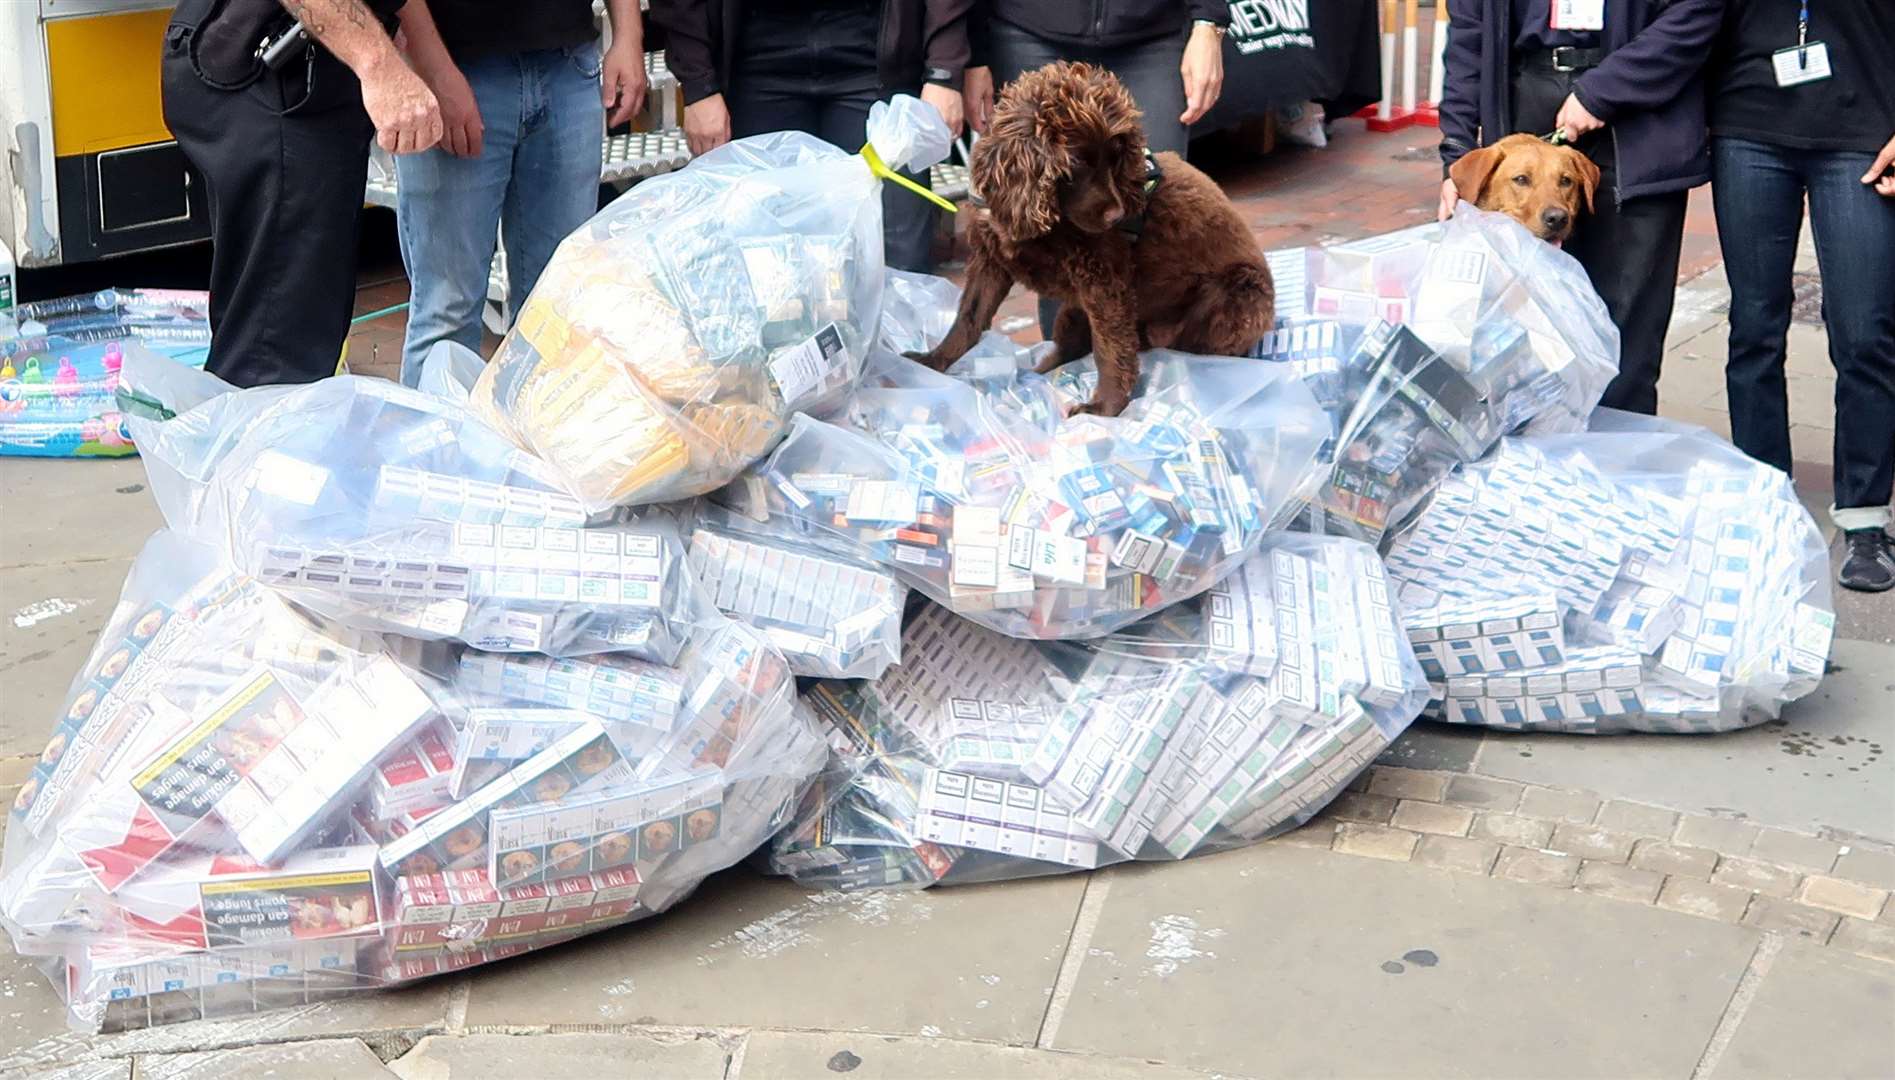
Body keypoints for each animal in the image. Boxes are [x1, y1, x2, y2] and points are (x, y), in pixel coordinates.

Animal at [905, 61, 1273, 416]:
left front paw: (1104, 408)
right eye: (1077, 163)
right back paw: (1037, 375)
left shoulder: (1104, 281)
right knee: (1068, 348)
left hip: (1237, 297)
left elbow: (1110, 349)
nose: (1117, 217)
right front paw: (931, 362)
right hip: (1072, 313)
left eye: (1116, 157)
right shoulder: (991, 261)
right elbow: (967, 319)